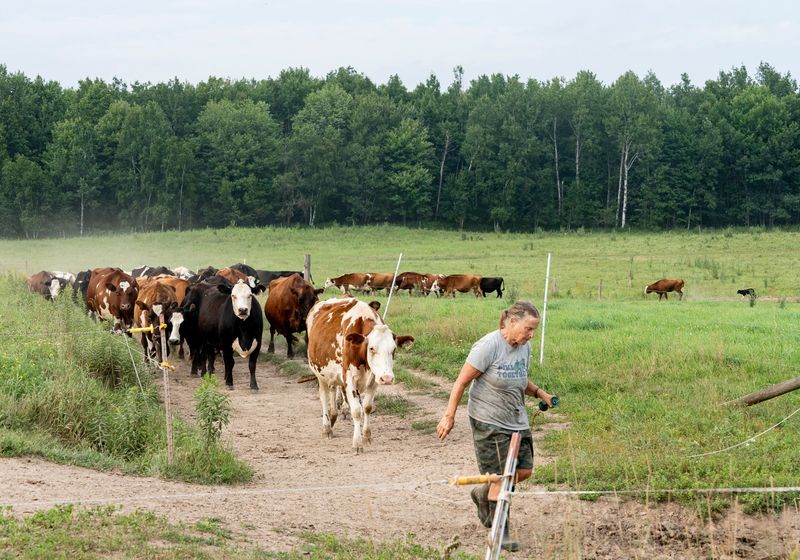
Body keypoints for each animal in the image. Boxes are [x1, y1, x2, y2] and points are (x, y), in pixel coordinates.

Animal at [306, 297, 414, 452]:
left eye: (393, 349)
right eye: (372, 348)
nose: (387, 378)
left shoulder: (374, 379)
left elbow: (367, 407)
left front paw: (367, 436)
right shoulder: (349, 378)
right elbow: (357, 410)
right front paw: (357, 443)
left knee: (333, 389)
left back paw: (333, 416)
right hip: (320, 373)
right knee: (324, 396)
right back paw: (327, 427)